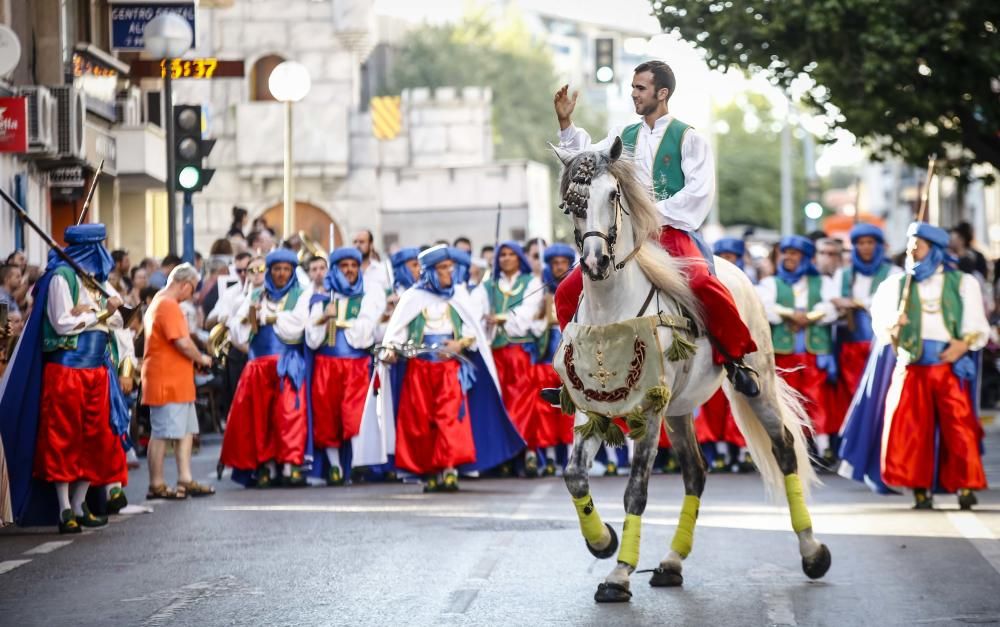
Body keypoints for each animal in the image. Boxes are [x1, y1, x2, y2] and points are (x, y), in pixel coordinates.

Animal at [552, 139, 832, 604]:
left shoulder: (649, 413)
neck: (612, 311)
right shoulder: (593, 410)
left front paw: (619, 574)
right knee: (696, 473)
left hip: (757, 387)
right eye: (573, 203)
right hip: (680, 410)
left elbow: (636, 492)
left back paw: (812, 552)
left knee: (785, 449)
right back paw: (670, 562)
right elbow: (574, 476)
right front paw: (603, 541)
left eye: (612, 195)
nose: (595, 262)